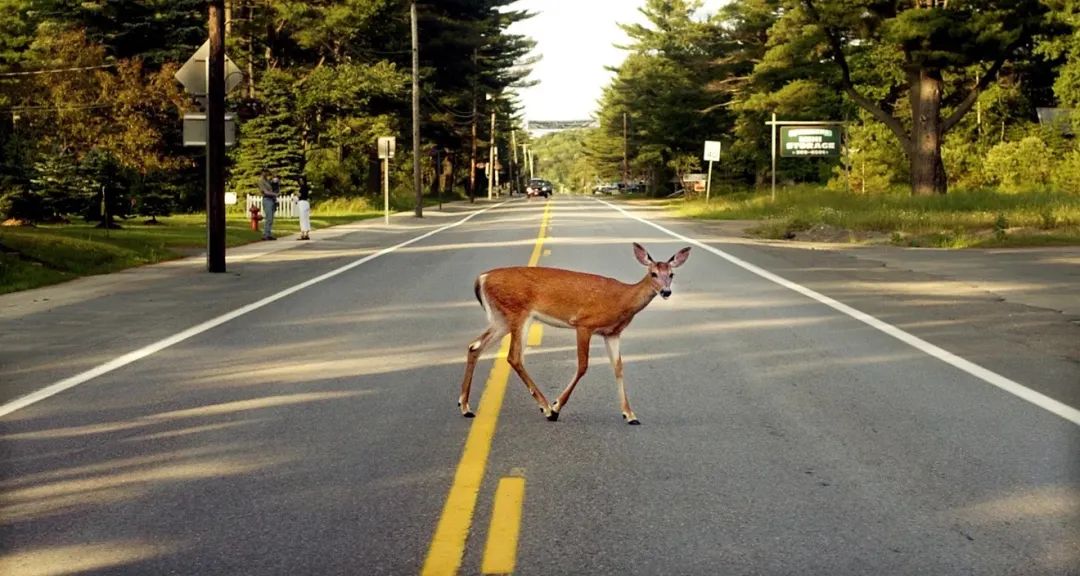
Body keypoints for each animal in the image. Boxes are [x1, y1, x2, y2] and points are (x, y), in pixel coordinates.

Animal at [455, 239, 691, 423]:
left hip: (502, 319)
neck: (622, 300)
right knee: (514, 356)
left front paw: (630, 414)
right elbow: (583, 366)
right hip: (518, 313)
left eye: (672, 274)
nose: (666, 292)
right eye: (653, 273)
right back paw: (546, 408)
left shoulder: (612, 333)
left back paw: (465, 406)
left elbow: (618, 368)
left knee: (475, 346)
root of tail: (482, 278)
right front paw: (557, 405)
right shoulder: (583, 324)